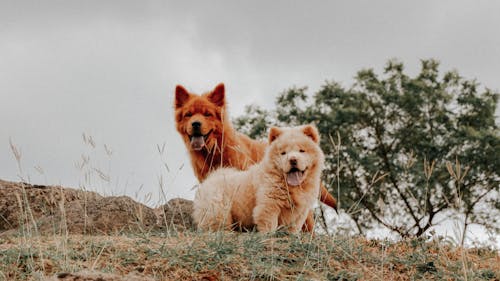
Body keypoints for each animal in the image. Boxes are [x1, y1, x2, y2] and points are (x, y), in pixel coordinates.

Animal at [174, 81, 338, 230]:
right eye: (188, 115)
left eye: (207, 114)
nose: (292, 160)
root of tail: (214, 177)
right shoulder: (268, 207)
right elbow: (268, 227)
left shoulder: (297, 213)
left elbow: (293, 228)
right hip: (219, 210)